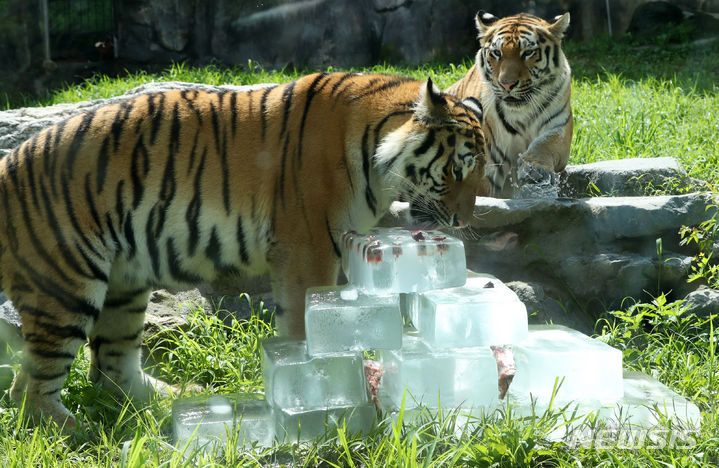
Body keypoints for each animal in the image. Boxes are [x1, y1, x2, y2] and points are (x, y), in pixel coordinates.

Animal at [0, 71, 486, 426]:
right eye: (457, 169)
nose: (463, 221)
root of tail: (6, 164)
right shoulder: (308, 248)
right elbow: (303, 325)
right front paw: (315, 385)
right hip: (64, 284)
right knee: (28, 388)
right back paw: (77, 429)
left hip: (124, 283)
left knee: (112, 366)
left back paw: (164, 404)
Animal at [450, 11, 572, 197]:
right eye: (496, 53)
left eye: (528, 52)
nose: (507, 84)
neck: (522, 112)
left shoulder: (560, 128)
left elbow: (546, 144)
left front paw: (534, 169)